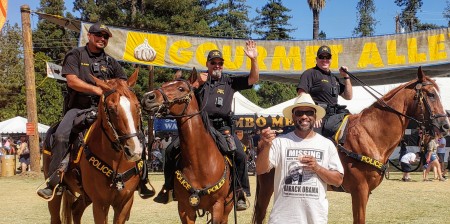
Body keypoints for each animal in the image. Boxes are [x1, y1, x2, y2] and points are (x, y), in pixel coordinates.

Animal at [41, 68, 145, 224]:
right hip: (56, 194)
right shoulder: (100, 204)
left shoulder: (125, 202)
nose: (134, 151)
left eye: (137, 106)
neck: (117, 162)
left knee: (75, 210)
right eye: (111, 109)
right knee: (56, 216)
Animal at [141, 68, 234, 224]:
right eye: (165, 84)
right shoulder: (185, 208)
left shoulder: (218, 206)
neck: (200, 163)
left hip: (227, 207)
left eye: (181, 88)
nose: (148, 97)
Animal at [253, 67, 450, 224]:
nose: (445, 126)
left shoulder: (366, 192)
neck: (371, 135)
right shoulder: (359, 190)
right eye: (431, 95)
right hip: (267, 187)